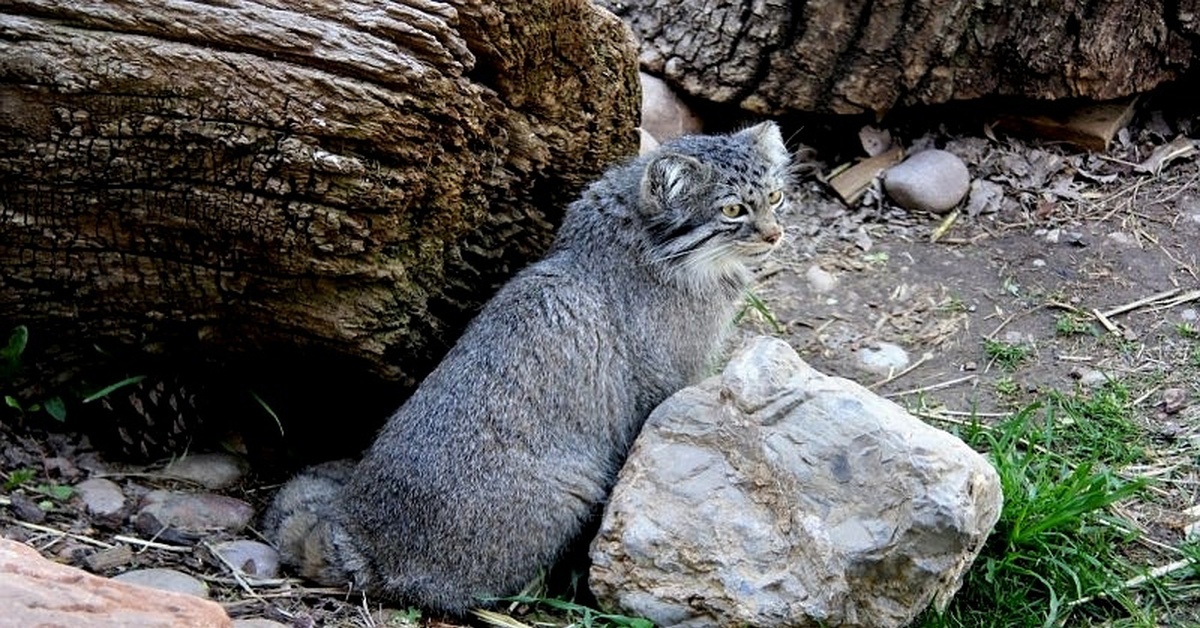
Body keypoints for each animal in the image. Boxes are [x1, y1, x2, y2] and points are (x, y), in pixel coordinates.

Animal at [260, 120, 796, 614]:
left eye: (775, 197)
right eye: (733, 210)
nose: (776, 234)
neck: (643, 245)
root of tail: (363, 536)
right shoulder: (672, 377)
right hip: (572, 491)